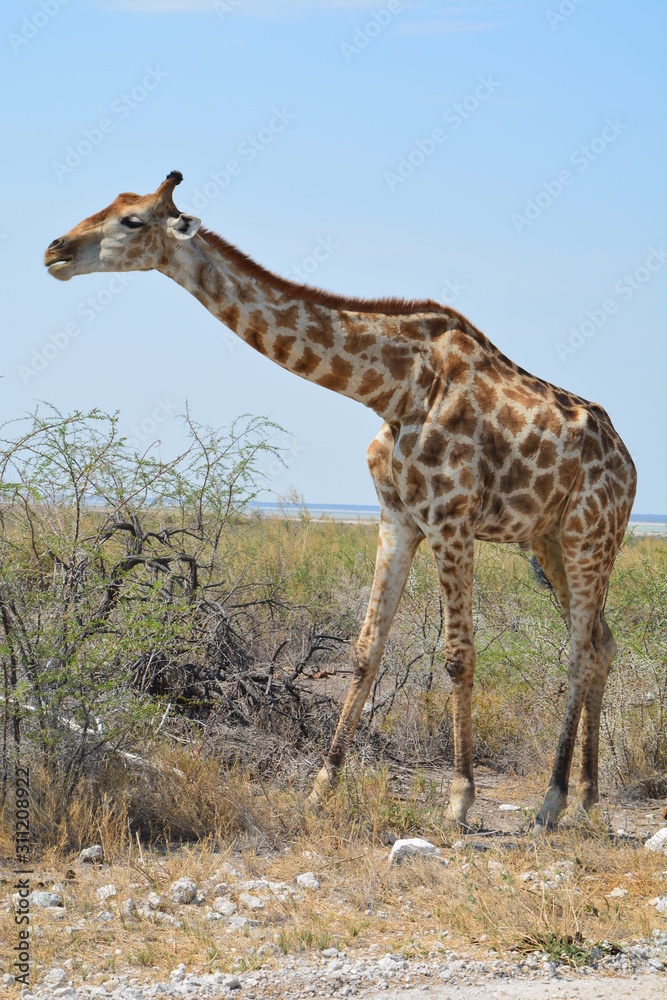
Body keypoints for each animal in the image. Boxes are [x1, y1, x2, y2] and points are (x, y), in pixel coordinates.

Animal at [41, 172, 636, 828]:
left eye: (132, 221)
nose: (55, 251)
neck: (395, 388)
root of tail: (629, 463)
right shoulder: (398, 519)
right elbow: (364, 649)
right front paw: (323, 784)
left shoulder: (451, 519)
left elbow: (458, 654)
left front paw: (458, 799)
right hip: (547, 541)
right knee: (602, 643)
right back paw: (587, 796)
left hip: (591, 534)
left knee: (580, 649)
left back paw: (553, 800)